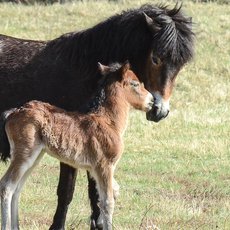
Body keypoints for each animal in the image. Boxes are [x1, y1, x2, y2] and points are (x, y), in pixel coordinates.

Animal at [0, 3, 194, 230]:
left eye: (181, 65)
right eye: (156, 58)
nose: (158, 110)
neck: (84, 65)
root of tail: (13, 113)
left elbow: (98, 195)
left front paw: (98, 223)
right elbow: (69, 193)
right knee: (10, 186)